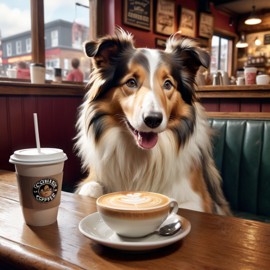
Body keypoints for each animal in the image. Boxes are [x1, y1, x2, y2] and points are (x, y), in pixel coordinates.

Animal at [75, 29, 231, 215]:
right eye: (131, 82)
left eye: (168, 84)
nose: (153, 120)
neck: (142, 157)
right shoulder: (92, 179)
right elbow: (90, 189)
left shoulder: (200, 200)